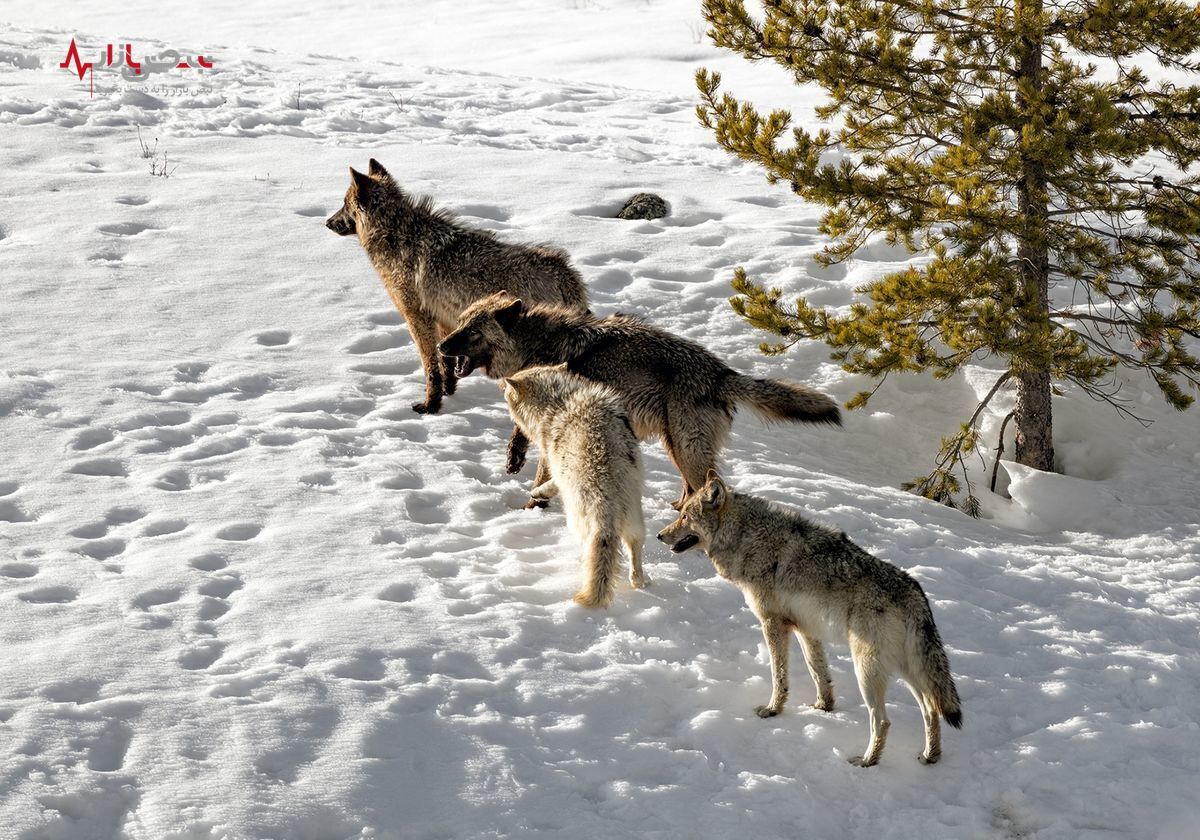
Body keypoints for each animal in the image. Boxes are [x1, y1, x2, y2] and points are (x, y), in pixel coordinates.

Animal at [326, 159, 588, 415]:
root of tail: (565, 274)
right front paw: (448, 393)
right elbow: (447, 363)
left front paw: (430, 406)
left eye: (344, 204)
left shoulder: (417, 319)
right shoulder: (445, 320)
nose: (327, 222)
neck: (396, 236)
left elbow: (431, 368)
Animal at [436, 291, 840, 508]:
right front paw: (513, 457)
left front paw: (531, 509)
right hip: (675, 446)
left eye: (471, 332)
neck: (537, 347)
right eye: (460, 323)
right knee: (691, 489)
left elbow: (540, 478)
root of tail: (721, 372)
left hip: (686, 449)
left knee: (705, 487)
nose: (440, 347)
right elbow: (520, 437)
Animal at [499, 364, 643, 607]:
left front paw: (537, 492)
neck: (559, 400)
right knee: (634, 550)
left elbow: (550, 484)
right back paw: (640, 581)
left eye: (509, 391)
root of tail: (606, 499)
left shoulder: (555, 465)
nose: (501, 384)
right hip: (635, 519)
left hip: (579, 521)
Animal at [657, 472, 964, 768]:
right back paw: (929, 756)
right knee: (931, 710)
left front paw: (773, 710)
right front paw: (823, 707)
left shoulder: (772, 624)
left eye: (684, 517)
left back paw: (867, 761)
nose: (660, 535)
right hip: (907, 672)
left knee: (883, 721)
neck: (747, 537)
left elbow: (779, 676)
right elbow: (819, 673)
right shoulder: (806, 629)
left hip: (867, 671)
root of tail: (916, 593)